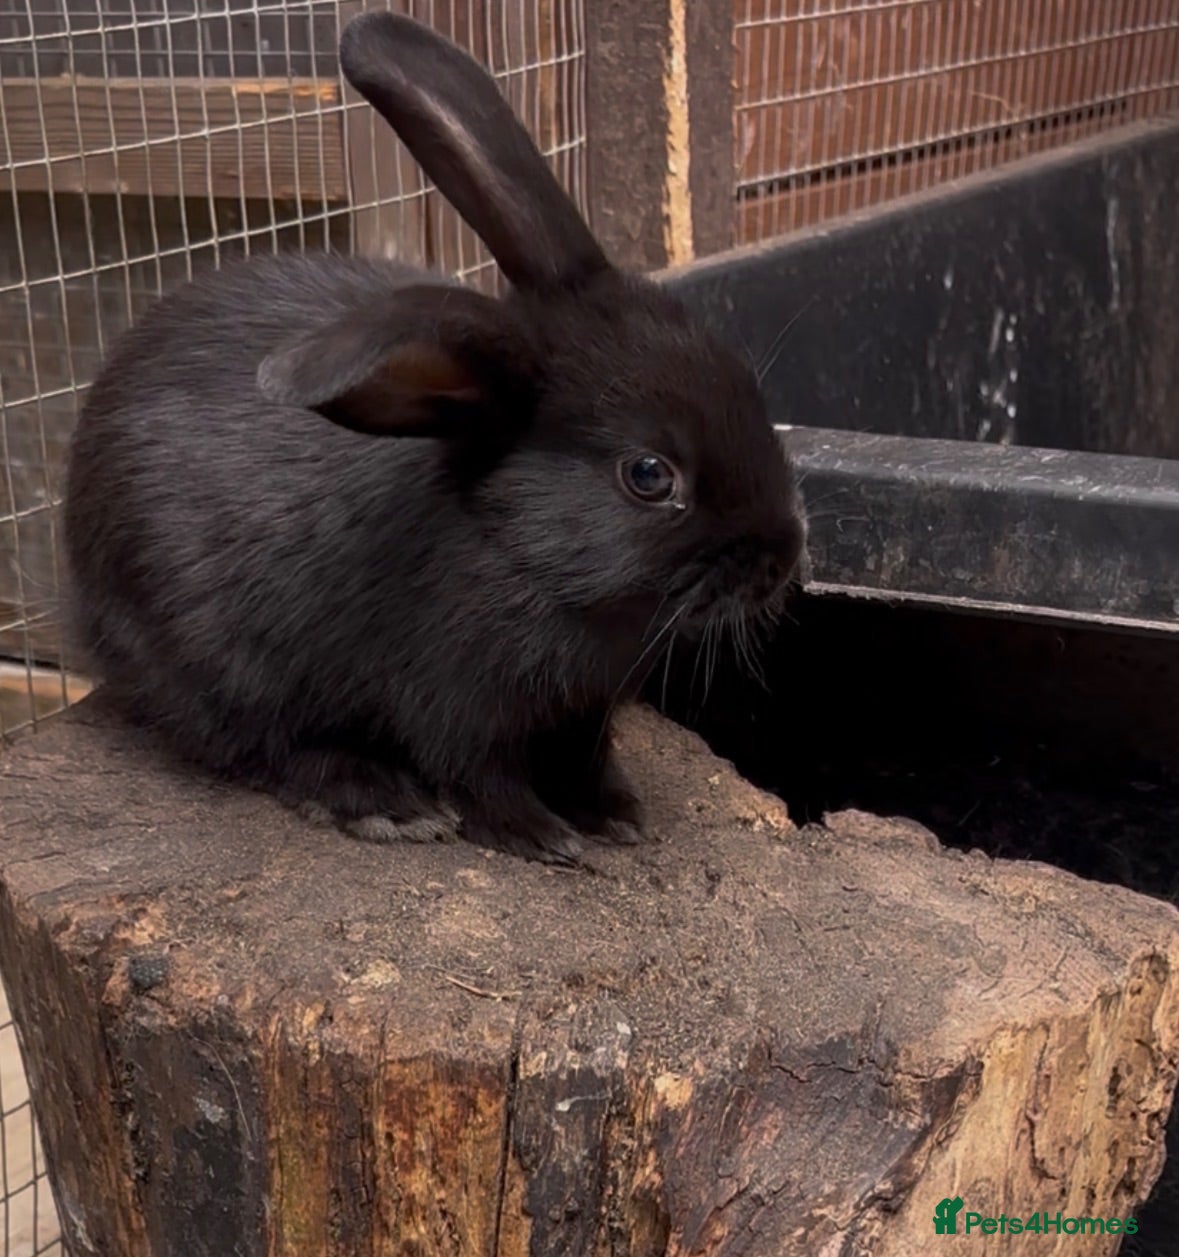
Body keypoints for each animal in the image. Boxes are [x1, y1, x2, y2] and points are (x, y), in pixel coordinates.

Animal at [62, 11, 808, 865]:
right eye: (649, 475)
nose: (784, 556)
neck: (522, 554)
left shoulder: (582, 713)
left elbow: (585, 759)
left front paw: (615, 815)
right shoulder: (453, 702)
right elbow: (480, 775)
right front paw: (544, 838)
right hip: (211, 665)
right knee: (267, 746)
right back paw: (383, 801)